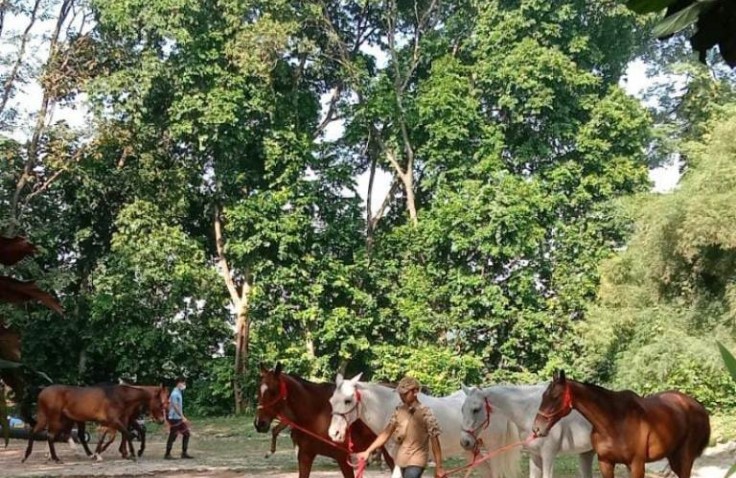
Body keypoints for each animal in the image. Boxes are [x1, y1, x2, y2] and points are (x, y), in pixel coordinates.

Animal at [23, 382, 168, 462]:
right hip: (57, 419)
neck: (119, 396)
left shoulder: (113, 422)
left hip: (49, 419)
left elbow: (118, 436)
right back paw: (56, 458)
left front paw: (100, 453)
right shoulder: (115, 421)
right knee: (51, 436)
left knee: (37, 432)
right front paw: (131, 454)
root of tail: (42, 393)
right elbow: (127, 434)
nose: (162, 420)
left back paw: (27, 456)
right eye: (160, 403)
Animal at [254, 362, 396, 478]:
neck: (315, 414)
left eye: (273, 391)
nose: (259, 423)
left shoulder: (343, 458)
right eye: (258, 390)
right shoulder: (305, 456)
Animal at [462, 382, 596, 478]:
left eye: (476, 409)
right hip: (587, 453)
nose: (465, 442)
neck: (530, 412)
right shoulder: (534, 454)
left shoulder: (548, 455)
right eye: (462, 408)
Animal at [532, 370, 712, 478]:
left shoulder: (637, 464)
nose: (537, 428)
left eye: (555, 396)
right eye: (543, 396)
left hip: (685, 457)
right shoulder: (606, 463)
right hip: (673, 456)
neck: (614, 421)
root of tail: (698, 406)